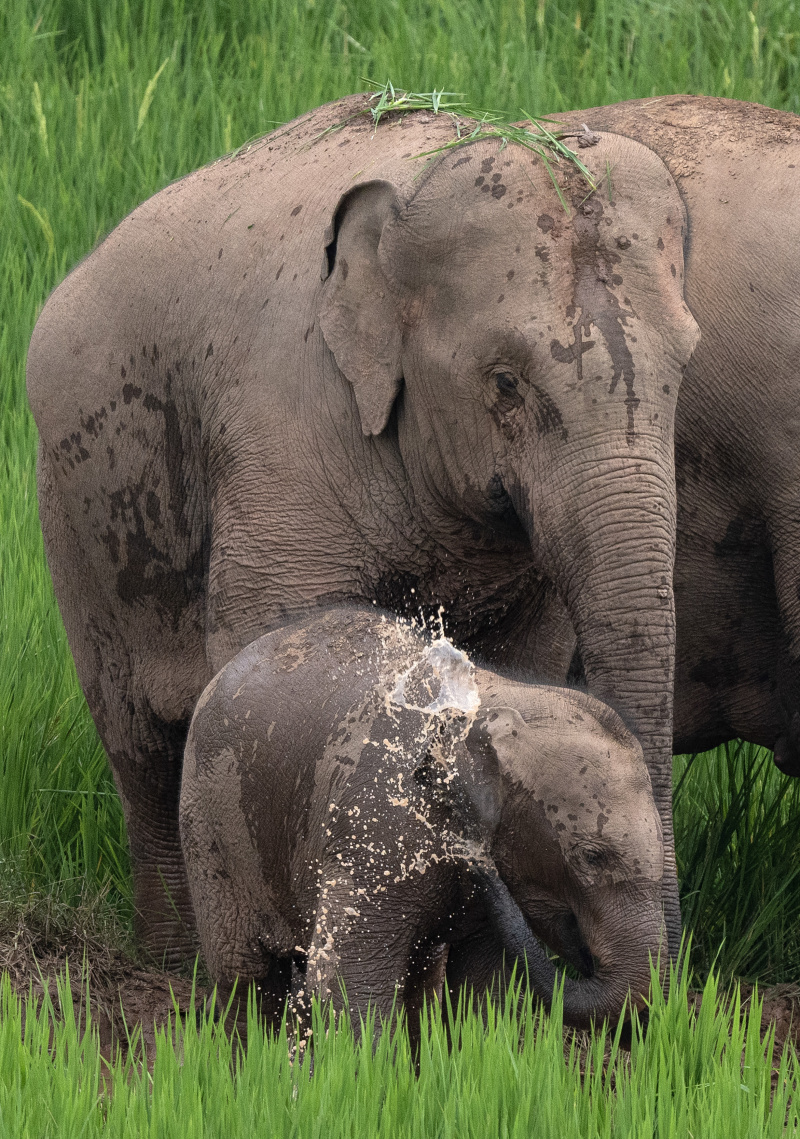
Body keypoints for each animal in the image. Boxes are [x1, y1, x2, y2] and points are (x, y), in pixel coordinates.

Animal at [26, 92, 699, 964]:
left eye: (686, 366)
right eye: (505, 382)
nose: (680, 977)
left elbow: (519, 664)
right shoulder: (283, 444)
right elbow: (281, 641)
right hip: (77, 516)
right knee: (139, 744)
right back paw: (174, 968)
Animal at [179, 606, 664, 1040]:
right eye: (592, 857)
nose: (479, 859)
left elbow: (485, 991)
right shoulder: (379, 828)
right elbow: (350, 984)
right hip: (210, 827)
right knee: (246, 979)